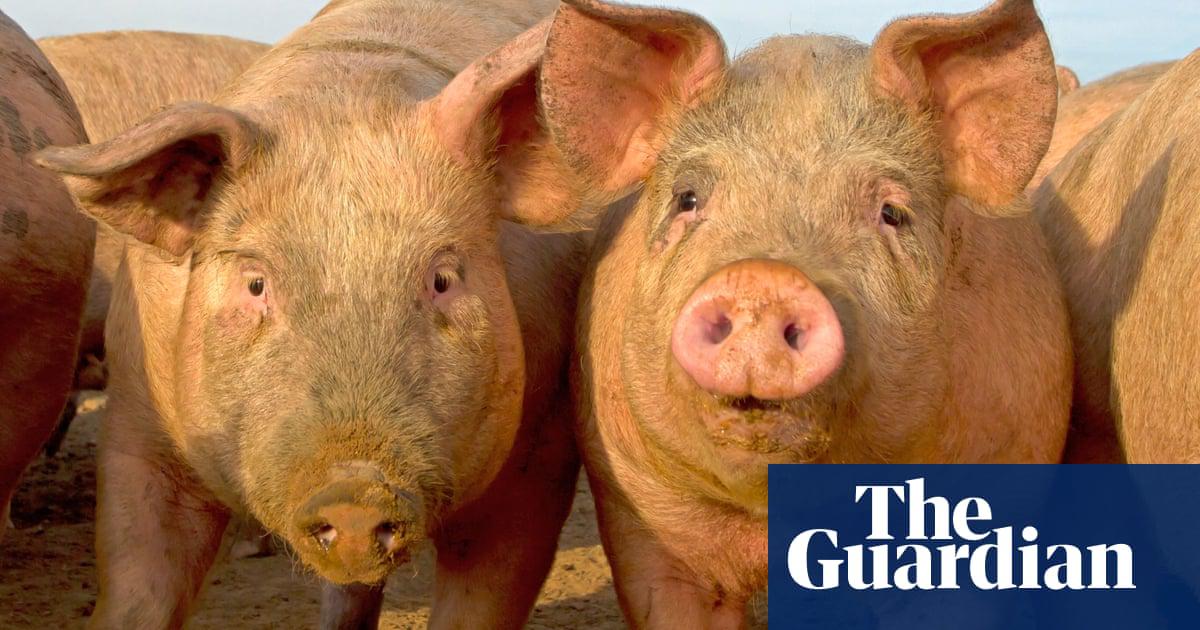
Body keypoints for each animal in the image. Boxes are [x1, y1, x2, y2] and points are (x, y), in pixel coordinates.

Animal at [34, 0, 591, 627]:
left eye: (443, 279)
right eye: (255, 283)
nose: (355, 492)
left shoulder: (538, 447)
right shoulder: (139, 416)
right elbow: (139, 578)